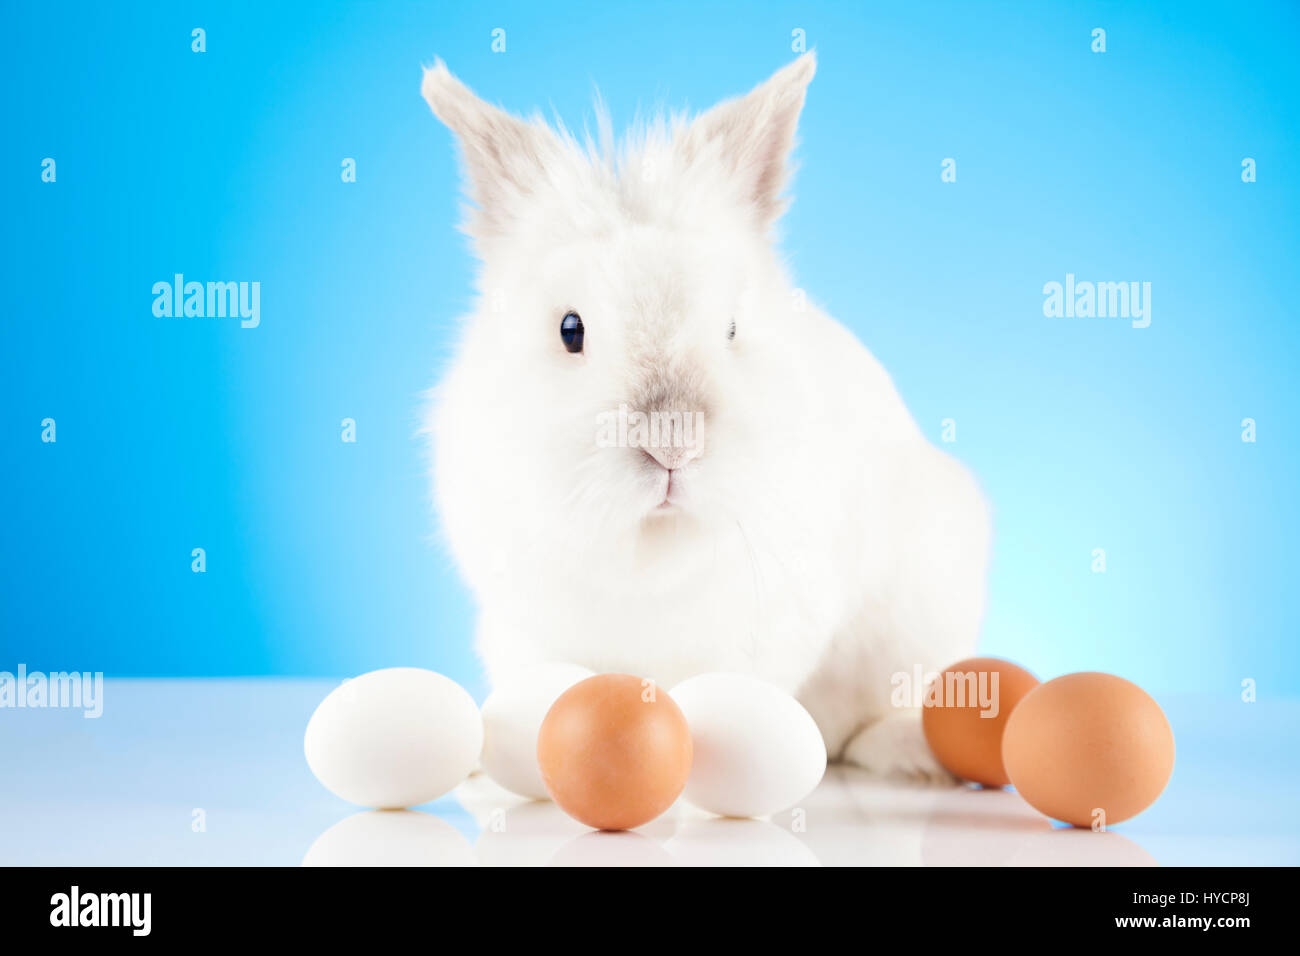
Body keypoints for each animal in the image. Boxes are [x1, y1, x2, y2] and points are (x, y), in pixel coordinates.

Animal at [420, 52, 990, 781]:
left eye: (732, 329)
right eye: (570, 330)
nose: (671, 442)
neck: (651, 555)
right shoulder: (524, 629)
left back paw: (909, 752)